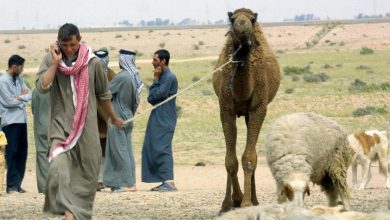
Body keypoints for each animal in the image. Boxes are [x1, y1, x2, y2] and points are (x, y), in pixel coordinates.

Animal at [213, 8, 280, 213]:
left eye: (252, 19)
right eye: (232, 18)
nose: (242, 25)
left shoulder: (258, 109)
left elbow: (249, 157)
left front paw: (246, 202)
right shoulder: (226, 110)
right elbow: (230, 160)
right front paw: (230, 202)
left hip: (251, 114)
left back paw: (255, 199)